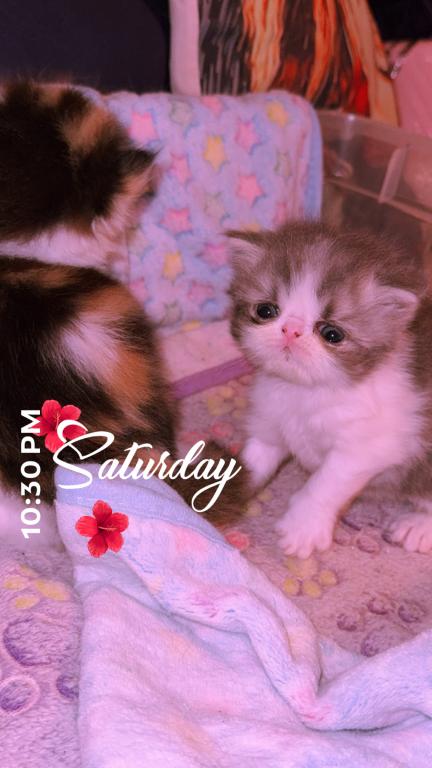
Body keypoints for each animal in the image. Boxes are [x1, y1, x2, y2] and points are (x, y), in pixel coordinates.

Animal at [228, 220, 432, 558]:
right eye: (266, 311)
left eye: (332, 334)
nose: (291, 330)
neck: (305, 393)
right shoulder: (269, 420)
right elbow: (253, 460)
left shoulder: (371, 445)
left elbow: (326, 482)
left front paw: (303, 528)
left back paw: (417, 526)